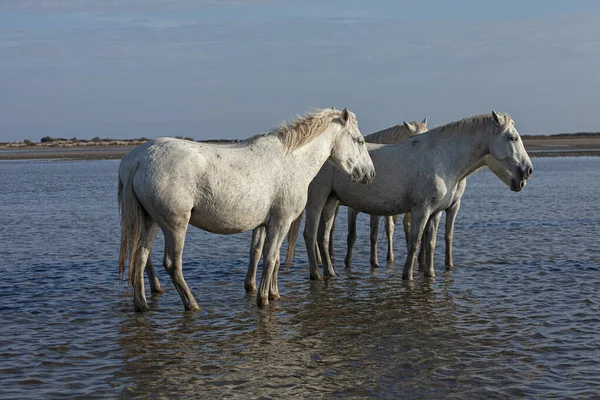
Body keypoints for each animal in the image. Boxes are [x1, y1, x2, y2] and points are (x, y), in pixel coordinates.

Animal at [117, 108, 376, 310]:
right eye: (359, 140)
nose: (370, 174)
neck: (292, 160)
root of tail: (137, 160)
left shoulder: (265, 224)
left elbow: (266, 256)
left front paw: (272, 293)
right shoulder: (281, 222)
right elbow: (270, 259)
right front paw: (263, 298)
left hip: (151, 222)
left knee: (140, 258)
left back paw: (141, 304)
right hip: (174, 225)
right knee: (172, 265)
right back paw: (192, 305)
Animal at [302, 111, 532, 282]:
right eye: (513, 137)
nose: (527, 170)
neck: (442, 158)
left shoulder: (436, 212)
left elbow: (430, 243)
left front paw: (430, 273)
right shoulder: (421, 210)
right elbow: (415, 241)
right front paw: (408, 276)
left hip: (331, 201)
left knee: (323, 236)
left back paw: (330, 272)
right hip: (317, 199)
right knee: (310, 234)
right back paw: (316, 274)